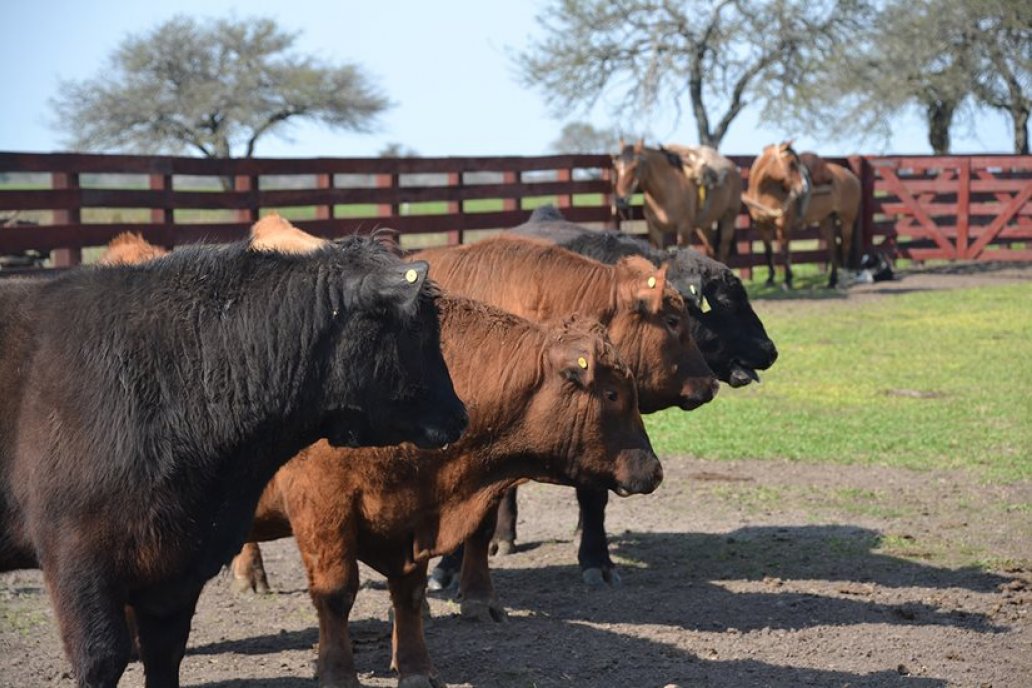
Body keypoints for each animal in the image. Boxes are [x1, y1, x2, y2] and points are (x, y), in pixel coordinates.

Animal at [0, 233, 464, 688]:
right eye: (420, 331)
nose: (460, 414)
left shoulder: (176, 568)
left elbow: (165, 654)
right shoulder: (76, 555)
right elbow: (101, 658)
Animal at [232, 295, 660, 688]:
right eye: (612, 394)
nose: (653, 471)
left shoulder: (413, 516)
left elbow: (409, 593)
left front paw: (416, 670)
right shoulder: (324, 511)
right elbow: (336, 594)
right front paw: (337, 675)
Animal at [610, 138, 743, 261]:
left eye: (634, 167)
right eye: (616, 167)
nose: (620, 200)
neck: (664, 194)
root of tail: (734, 170)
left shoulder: (684, 230)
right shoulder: (655, 230)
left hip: (729, 218)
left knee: (723, 249)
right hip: (704, 225)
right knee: (710, 249)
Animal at [743, 142, 862, 288]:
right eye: (791, 163)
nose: (803, 187)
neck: (764, 191)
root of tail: (852, 175)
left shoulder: (783, 224)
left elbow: (785, 251)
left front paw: (787, 280)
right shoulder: (762, 224)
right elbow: (768, 252)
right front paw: (770, 279)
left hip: (847, 220)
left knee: (845, 246)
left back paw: (843, 278)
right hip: (827, 219)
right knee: (832, 247)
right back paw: (832, 280)